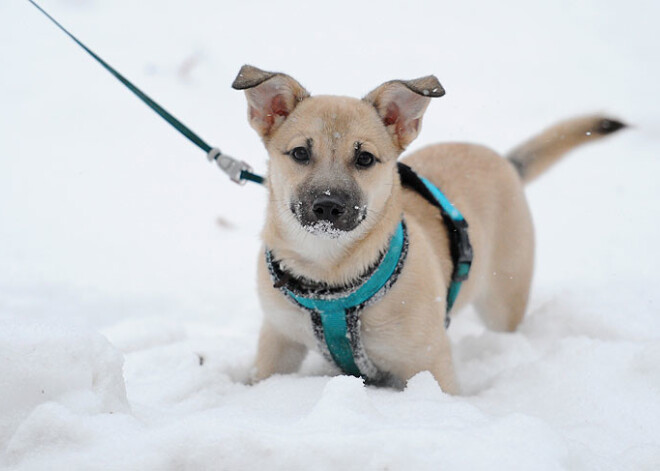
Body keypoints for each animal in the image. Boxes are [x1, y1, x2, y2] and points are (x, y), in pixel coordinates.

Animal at [235, 64, 628, 392]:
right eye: (300, 153)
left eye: (364, 158)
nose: (328, 206)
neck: (329, 277)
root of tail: (505, 161)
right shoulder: (278, 339)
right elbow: (263, 374)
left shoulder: (430, 363)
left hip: (504, 297)